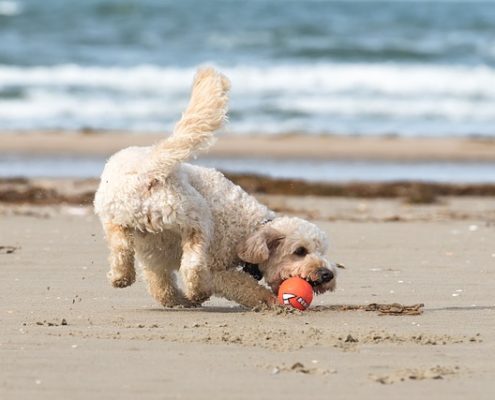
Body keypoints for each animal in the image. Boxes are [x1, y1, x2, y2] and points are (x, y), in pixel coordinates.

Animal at [94, 67, 338, 308]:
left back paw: (124, 277)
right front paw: (269, 300)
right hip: (197, 217)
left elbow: (161, 288)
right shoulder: (215, 268)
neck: (249, 230)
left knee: (125, 249)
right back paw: (196, 291)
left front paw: (178, 300)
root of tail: (150, 168)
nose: (327, 275)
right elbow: (244, 286)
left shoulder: (154, 258)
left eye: (321, 251)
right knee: (192, 264)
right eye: (300, 251)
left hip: (119, 218)